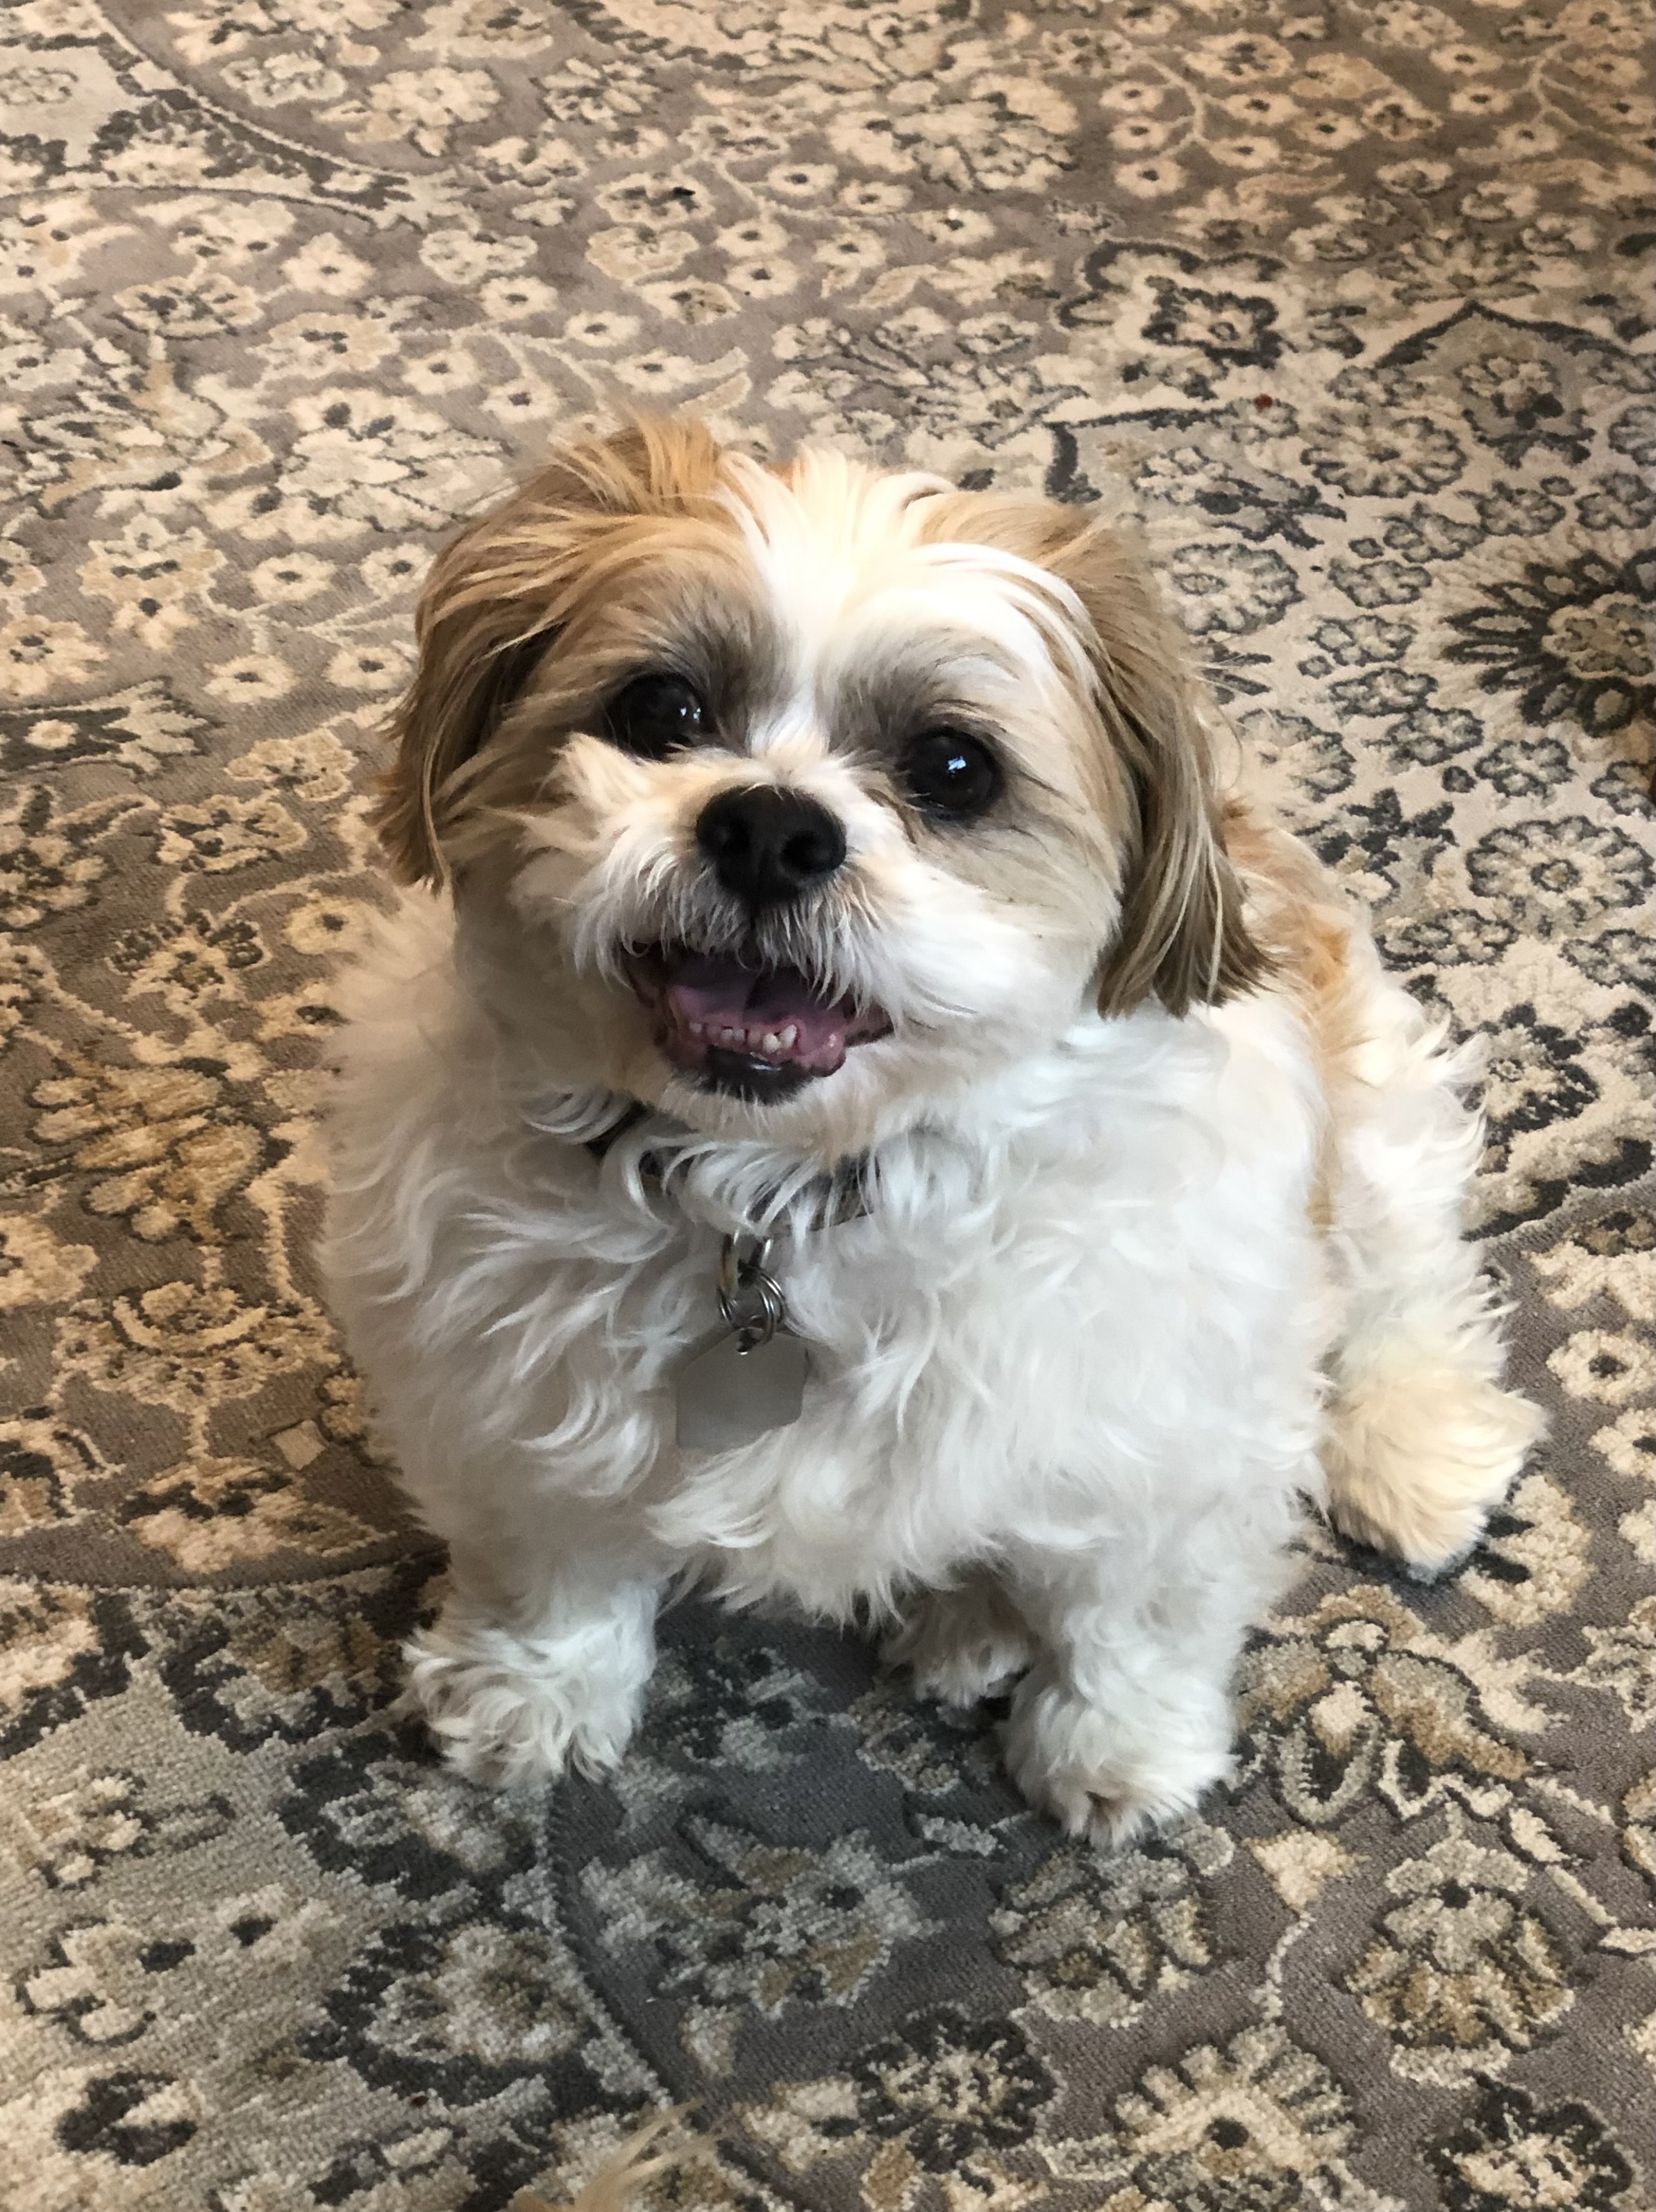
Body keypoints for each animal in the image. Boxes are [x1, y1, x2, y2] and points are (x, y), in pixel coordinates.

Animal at [322, 419, 1540, 1846]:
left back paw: (1412, 1454)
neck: (786, 1196)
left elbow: (1134, 1616)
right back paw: (968, 1621)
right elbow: (551, 1563)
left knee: (1411, 1291)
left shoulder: (1169, 1432)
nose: (772, 825)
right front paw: (533, 1694)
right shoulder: (504, 1400)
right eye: (661, 710)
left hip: (1375, 1123)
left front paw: (1119, 1753)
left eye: (955, 769)